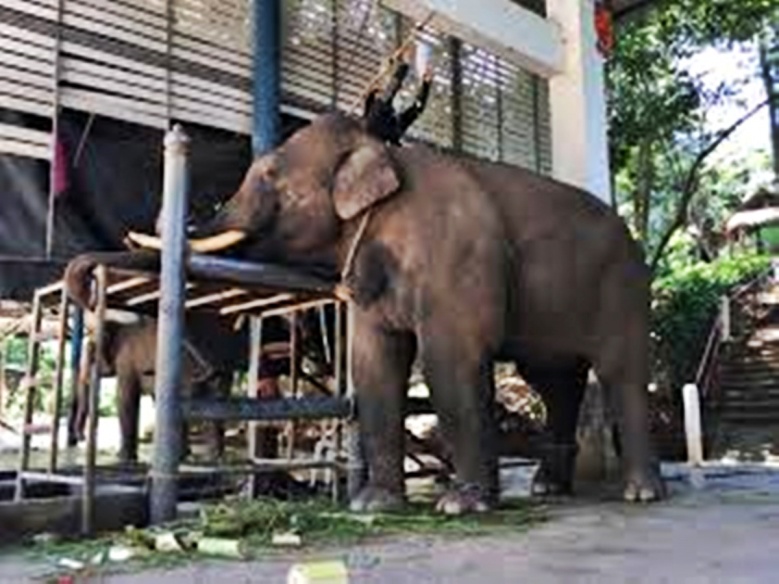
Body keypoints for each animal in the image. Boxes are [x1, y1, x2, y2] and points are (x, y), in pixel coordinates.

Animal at [127, 112, 665, 513]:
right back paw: (549, 489)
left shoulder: (456, 255)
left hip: (624, 288)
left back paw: (640, 494)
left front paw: (461, 506)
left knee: (620, 372)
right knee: (555, 382)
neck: (382, 152)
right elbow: (374, 363)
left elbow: (450, 358)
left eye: (269, 175)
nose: (176, 134)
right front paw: (372, 505)